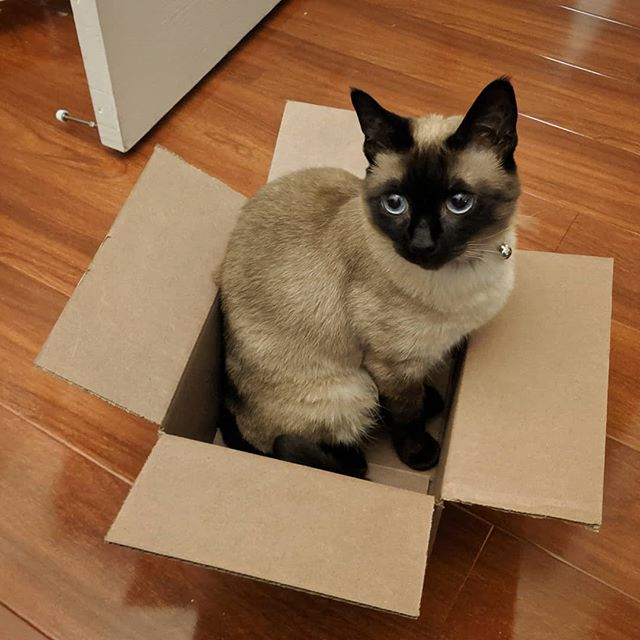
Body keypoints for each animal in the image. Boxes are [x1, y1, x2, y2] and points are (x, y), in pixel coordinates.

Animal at [220, 77, 520, 478]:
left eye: (459, 203)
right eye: (395, 204)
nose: (421, 244)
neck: (467, 271)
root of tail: (231, 401)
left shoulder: (423, 356)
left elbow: (411, 399)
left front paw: (427, 400)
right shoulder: (391, 365)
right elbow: (406, 413)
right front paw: (419, 454)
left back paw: (435, 400)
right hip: (353, 388)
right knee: (315, 450)